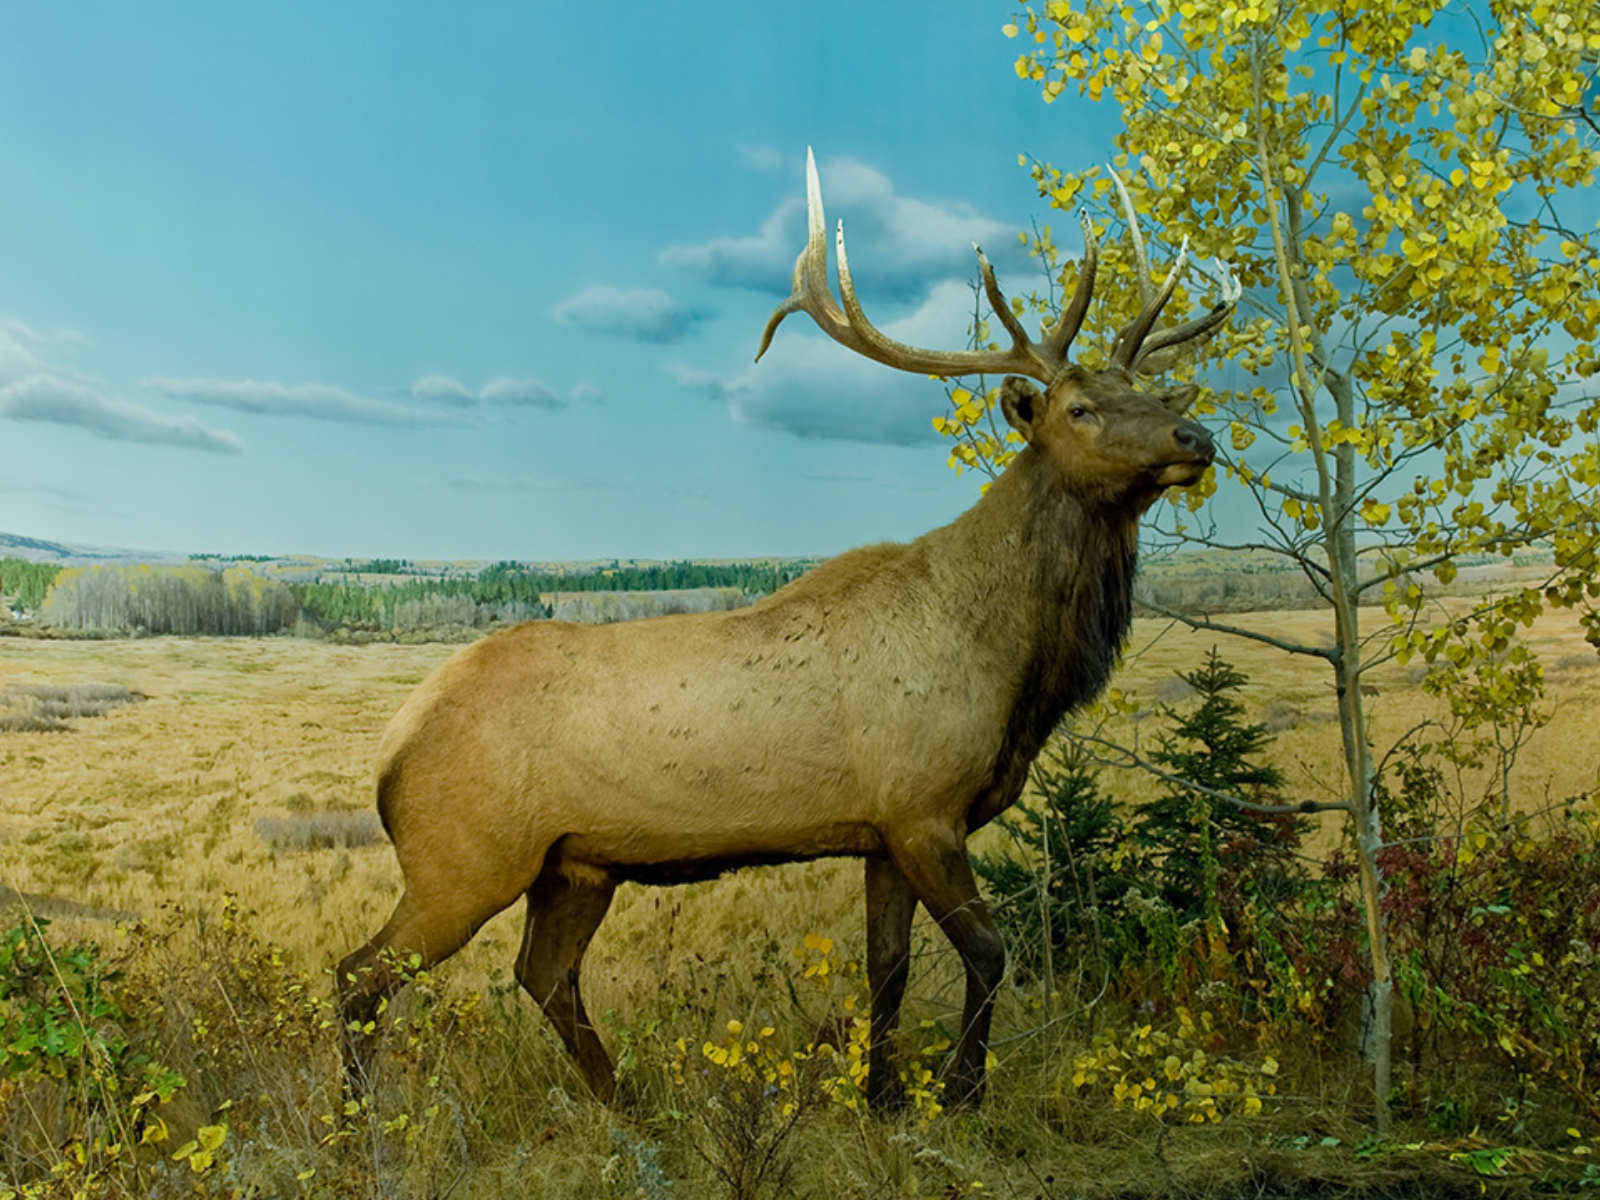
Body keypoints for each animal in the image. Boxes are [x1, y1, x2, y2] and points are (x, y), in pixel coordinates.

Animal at [337, 155, 1235, 1113]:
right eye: (1079, 410)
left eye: (1148, 392)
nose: (1196, 435)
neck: (1012, 671)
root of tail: (391, 751)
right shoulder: (923, 807)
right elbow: (990, 953)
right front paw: (959, 1093)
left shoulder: (886, 827)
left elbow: (888, 966)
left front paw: (882, 1097)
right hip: (464, 858)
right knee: (360, 976)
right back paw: (362, 1127)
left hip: (574, 866)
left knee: (543, 975)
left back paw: (629, 1105)